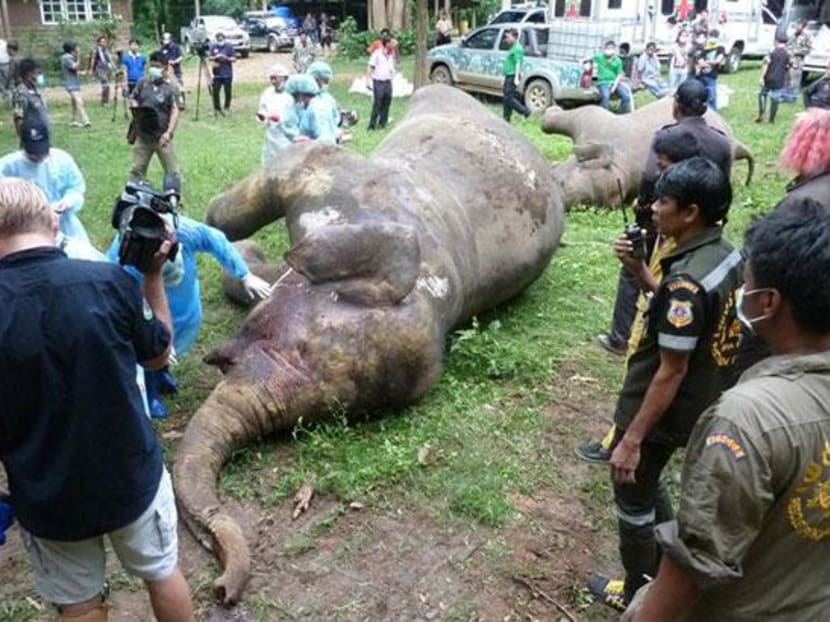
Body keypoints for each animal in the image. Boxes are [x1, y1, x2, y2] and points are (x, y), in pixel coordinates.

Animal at [173, 84, 566, 606]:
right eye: (295, 347)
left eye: (320, 417)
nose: (222, 589)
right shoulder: (325, 173)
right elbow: (234, 211)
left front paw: (248, 264)